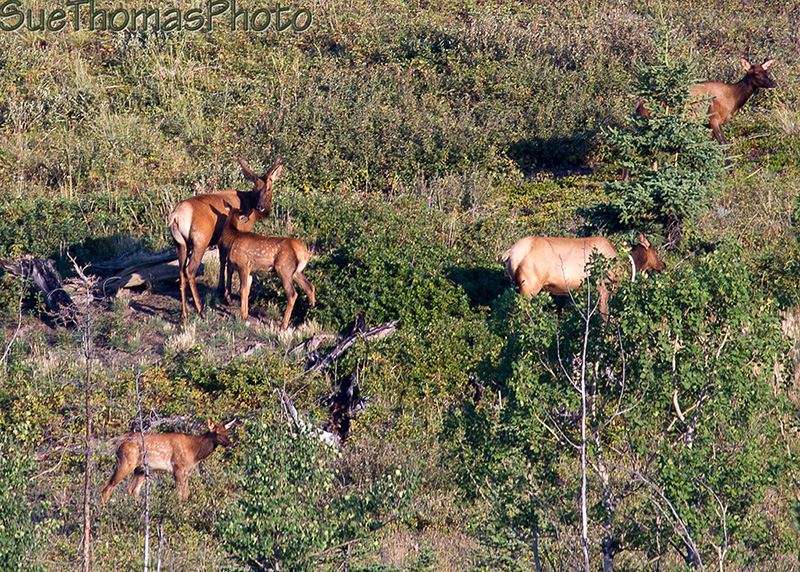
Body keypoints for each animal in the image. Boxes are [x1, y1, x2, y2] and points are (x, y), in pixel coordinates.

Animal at [100, 419, 234, 502]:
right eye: (217, 433)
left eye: (227, 432)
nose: (229, 443)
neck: (194, 453)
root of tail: (119, 441)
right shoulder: (177, 467)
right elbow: (180, 493)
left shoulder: (187, 471)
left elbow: (186, 493)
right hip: (126, 461)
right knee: (108, 485)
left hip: (140, 468)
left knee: (133, 490)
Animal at [168, 158, 282, 320]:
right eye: (256, 188)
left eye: (268, 188)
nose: (260, 206)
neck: (248, 204)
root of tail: (176, 216)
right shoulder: (236, 234)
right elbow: (230, 265)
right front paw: (227, 297)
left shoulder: (222, 241)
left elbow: (222, 261)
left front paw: (221, 290)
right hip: (200, 242)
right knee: (190, 270)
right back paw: (200, 310)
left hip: (180, 244)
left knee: (181, 272)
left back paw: (184, 313)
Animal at [501, 233, 666, 316]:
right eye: (656, 251)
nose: (663, 265)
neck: (626, 266)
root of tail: (509, 253)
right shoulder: (604, 288)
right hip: (529, 285)